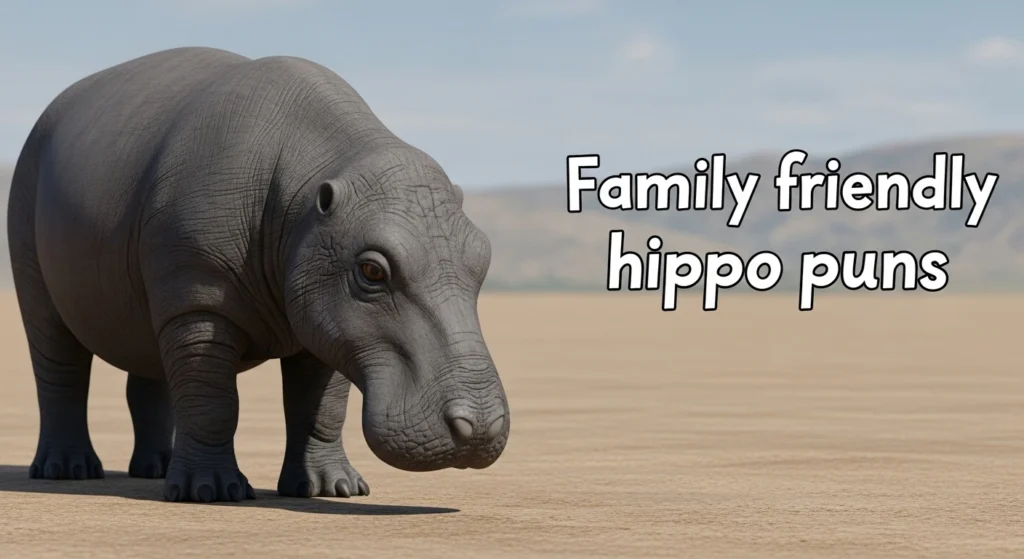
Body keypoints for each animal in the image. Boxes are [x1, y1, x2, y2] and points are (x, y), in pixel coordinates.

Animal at [6, 47, 509, 503]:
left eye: (484, 255)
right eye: (371, 270)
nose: (483, 429)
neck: (311, 185)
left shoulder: (327, 317)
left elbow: (321, 408)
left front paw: (334, 489)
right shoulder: (201, 300)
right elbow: (213, 402)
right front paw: (211, 492)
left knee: (148, 361)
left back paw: (155, 470)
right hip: (31, 215)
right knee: (60, 362)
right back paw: (68, 471)